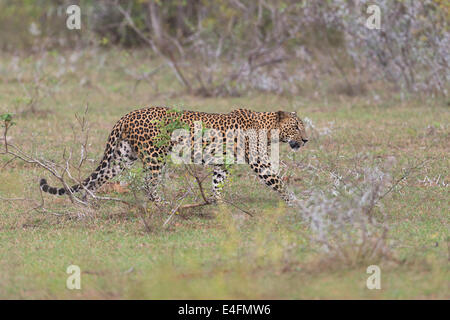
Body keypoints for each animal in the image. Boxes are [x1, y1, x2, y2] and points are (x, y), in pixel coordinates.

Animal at [39, 105, 310, 205]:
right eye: (297, 127)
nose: (306, 140)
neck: (268, 129)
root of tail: (126, 115)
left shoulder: (222, 163)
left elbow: (217, 183)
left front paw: (218, 203)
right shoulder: (258, 162)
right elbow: (278, 181)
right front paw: (295, 201)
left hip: (124, 156)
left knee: (100, 176)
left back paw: (87, 202)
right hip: (154, 155)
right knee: (149, 182)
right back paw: (161, 204)